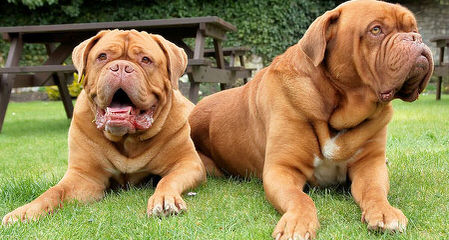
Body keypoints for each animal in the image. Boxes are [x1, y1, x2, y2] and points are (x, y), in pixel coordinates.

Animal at [1, 30, 205, 225]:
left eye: (146, 59)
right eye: (102, 56)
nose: (121, 67)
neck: (127, 139)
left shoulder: (188, 164)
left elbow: (168, 179)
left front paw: (164, 199)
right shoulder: (84, 177)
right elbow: (54, 191)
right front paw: (25, 211)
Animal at [188, 0, 430, 239]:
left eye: (414, 29)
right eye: (376, 30)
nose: (416, 38)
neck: (336, 109)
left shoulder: (370, 164)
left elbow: (374, 190)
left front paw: (385, 212)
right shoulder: (282, 169)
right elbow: (300, 198)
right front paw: (298, 222)